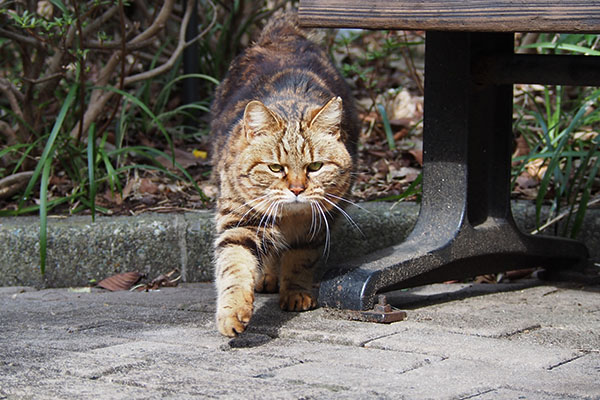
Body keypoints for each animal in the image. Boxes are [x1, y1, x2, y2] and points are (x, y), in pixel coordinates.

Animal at [211, 10, 358, 336]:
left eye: (314, 167)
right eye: (275, 167)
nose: (297, 189)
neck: (289, 217)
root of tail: (282, 34)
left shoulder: (319, 222)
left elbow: (300, 259)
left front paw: (296, 292)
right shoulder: (239, 220)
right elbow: (234, 266)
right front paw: (232, 313)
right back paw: (266, 276)